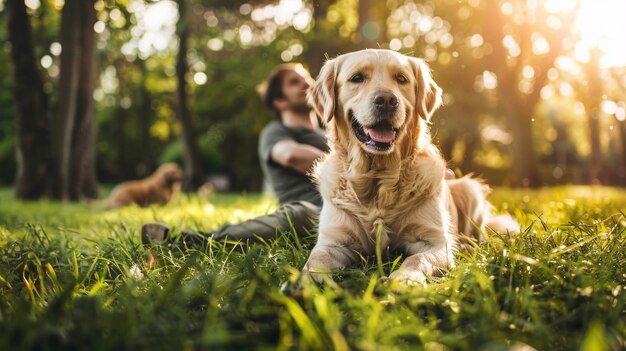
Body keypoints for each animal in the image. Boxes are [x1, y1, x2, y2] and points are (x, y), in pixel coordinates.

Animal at [302, 49, 516, 286]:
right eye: (357, 78)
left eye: (401, 79)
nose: (386, 100)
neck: (379, 177)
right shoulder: (334, 241)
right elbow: (316, 257)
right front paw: (310, 281)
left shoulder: (434, 242)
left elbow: (417, 259)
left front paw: (405, 280)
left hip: (470, 189)